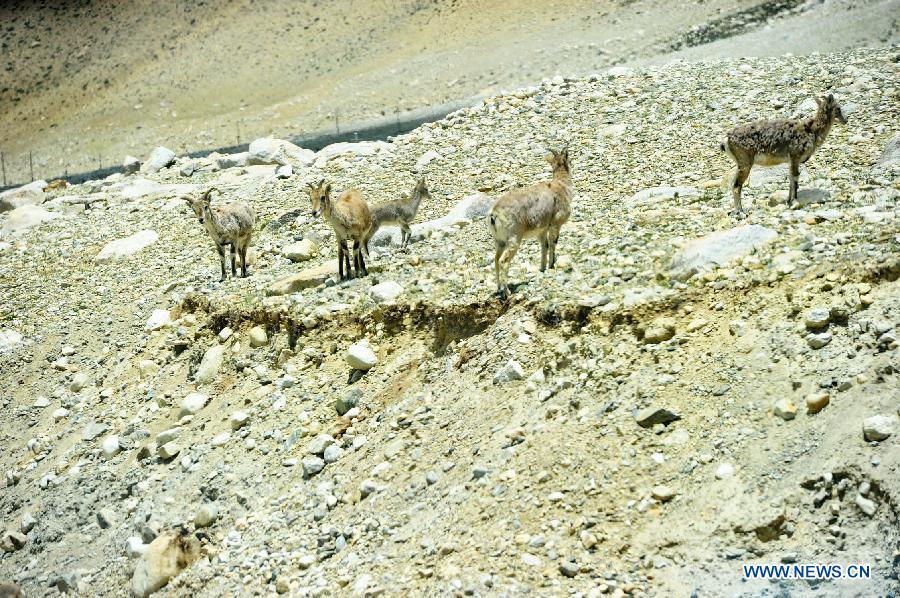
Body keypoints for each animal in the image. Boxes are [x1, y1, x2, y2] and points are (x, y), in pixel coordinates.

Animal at [488, 147, 572, 300]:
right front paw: (552, 265)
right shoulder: (556, 223)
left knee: (496, 259)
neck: (561, 186)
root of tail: (493, 215)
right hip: (514, 238)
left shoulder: (542, 231)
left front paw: (543, 268)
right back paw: (507, 292)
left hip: (499, 241)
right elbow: (553, 243)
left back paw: (499, 288)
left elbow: (544, 246)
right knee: (503, 261)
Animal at [720, 92, 848, 214]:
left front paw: (789, 200)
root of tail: (726, 140)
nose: (845, 120)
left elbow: (790, 177)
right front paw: (795, 202)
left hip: (740, 165)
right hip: (745, 163)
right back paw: (740, 211)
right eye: (838, 108)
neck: (812, 131)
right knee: (737, 186)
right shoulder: (796, 157)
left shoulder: (791, 161)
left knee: (733, 184)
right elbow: (795, 177)